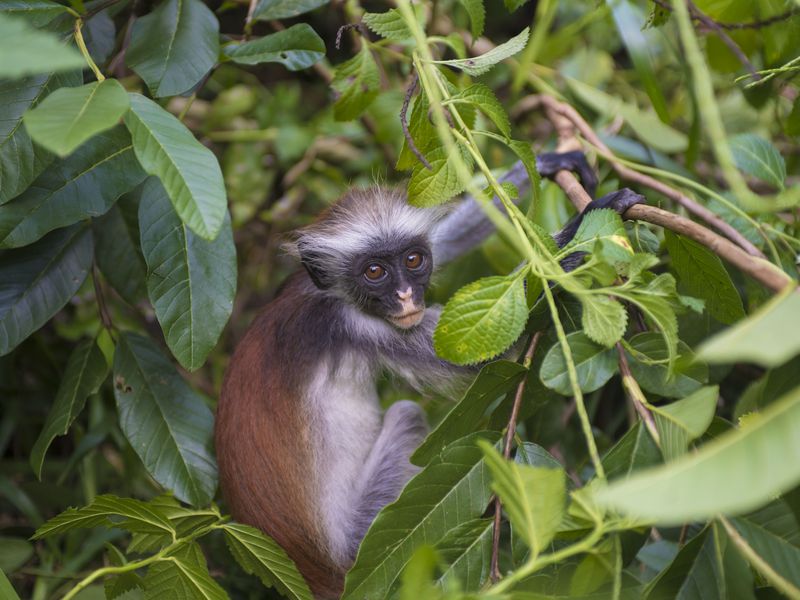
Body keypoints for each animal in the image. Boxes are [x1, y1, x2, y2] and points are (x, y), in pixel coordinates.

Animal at [214, 152, 644, 596]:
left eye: (413, 260)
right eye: (374, 272)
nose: (406, 296)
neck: (326, 296)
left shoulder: (302, 279)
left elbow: (445, 245)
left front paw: (545, 164)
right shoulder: (359, 325)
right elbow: (485, 348)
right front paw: (585, 227)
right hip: (362, 537)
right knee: (406, 413)